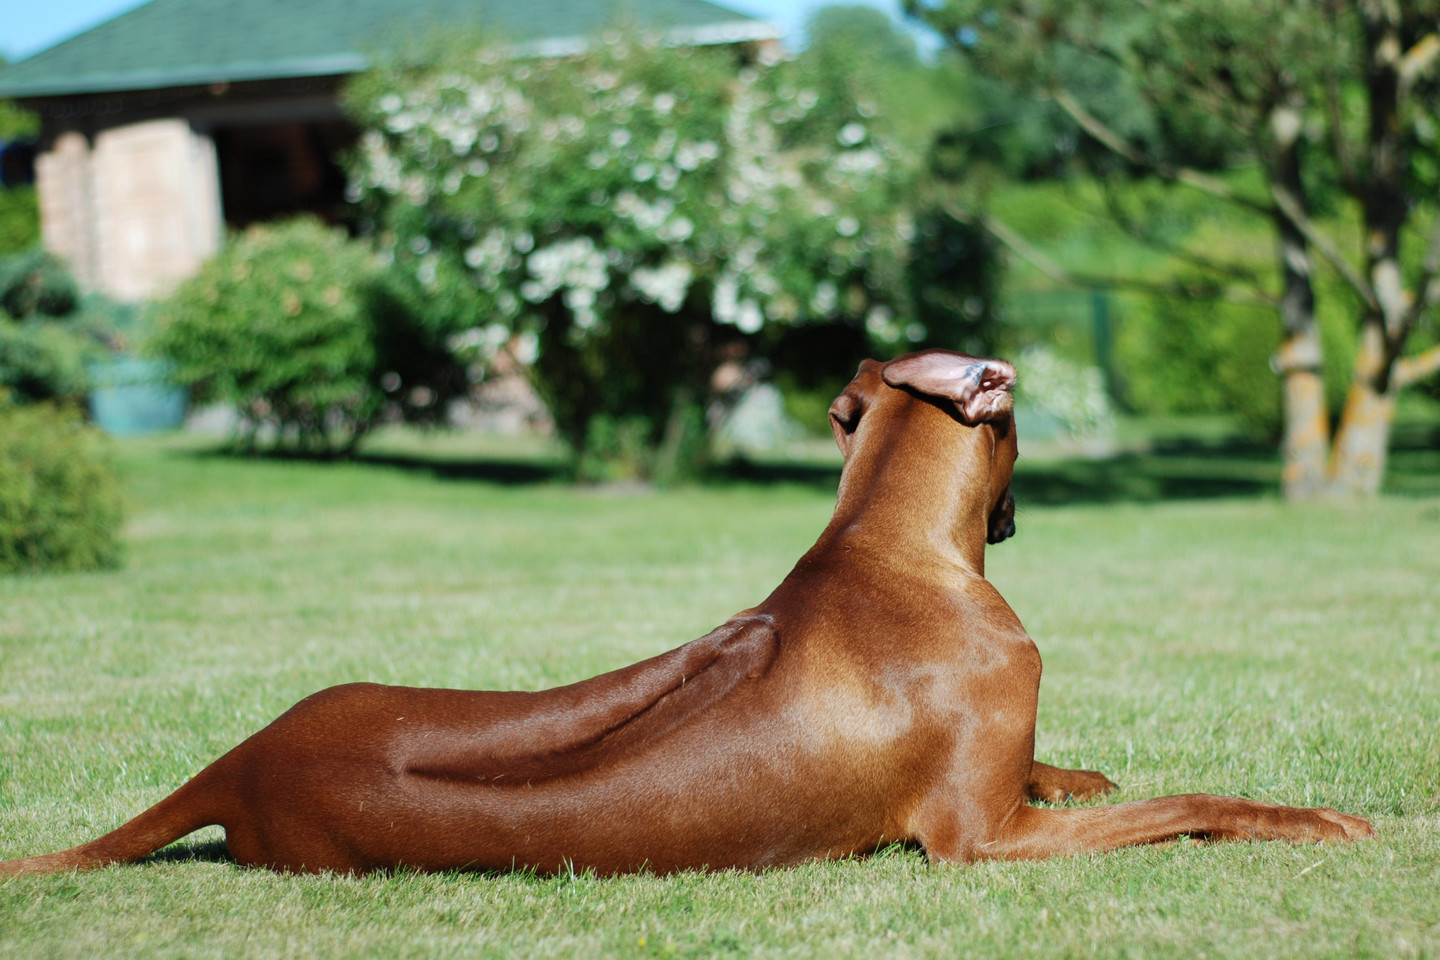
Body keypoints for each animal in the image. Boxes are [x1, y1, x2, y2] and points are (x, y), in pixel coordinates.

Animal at [0, 351, 1370, 880]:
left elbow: (1080, 769)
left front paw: (1082, 765)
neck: (883, 548)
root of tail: (235, 767)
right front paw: (1314, 815)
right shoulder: (981, 839)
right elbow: (1190, 802)